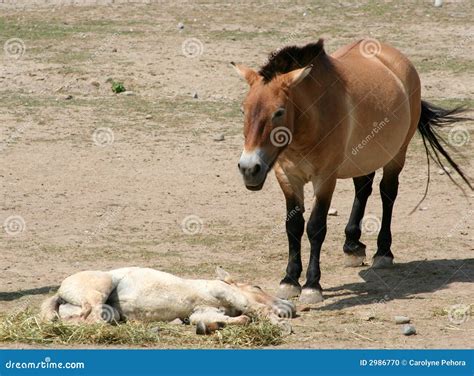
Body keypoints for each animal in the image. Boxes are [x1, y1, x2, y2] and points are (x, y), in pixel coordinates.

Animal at [40, 268, 294, 332]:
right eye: (257, 287)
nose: (291, 307)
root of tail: (60, 291)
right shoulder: (223, 292)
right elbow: (254, 307)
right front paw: (280, 324)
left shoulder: (199, 311)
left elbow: (206, 319)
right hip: (100, 287)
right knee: (91, 317)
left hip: (106, 309)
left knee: (82, 318)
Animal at [231, 38, 472, 304]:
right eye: (243, 110)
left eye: (279, 112)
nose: (249, 168)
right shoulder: (287, 177)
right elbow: (293, 226)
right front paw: (290, 280)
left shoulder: (325, 179)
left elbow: (315, 228)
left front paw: (312, 285)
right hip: (363, 156)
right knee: (363, 189)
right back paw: (352, 245)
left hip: (396, 155)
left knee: (387, 194)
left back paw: (383, 252)